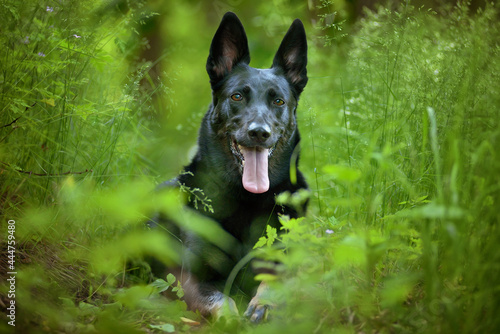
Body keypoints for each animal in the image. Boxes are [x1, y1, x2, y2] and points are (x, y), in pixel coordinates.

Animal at [155, 11, 308, 322]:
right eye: (237, 96)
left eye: (278, 100)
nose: (259, 133)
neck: (246, 199)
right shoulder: (191, 278)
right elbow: (221, 302)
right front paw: (234, 319)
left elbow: (275, 281)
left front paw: (264, 304)